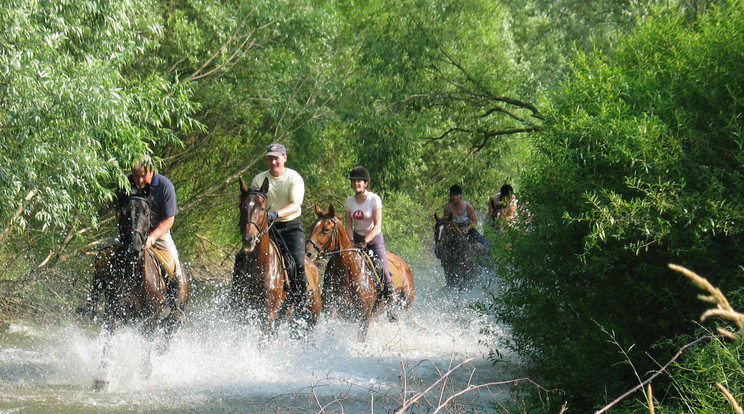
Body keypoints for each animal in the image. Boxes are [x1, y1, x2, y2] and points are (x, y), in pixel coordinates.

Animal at [230, 177, 322, 336]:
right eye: (242, 206)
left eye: (262, 208)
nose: (249, 239)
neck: (260, 267)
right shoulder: (242, 313)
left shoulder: (268, 316)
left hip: (310, 320)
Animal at [306, 201, 416, 340]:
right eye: (311, 227)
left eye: (326, 230)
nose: (308, 252)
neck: (348, 272)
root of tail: (403, 265)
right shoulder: (333, 310)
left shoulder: (364, 316)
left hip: (403, 305)